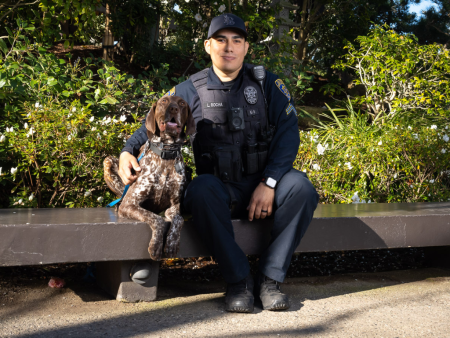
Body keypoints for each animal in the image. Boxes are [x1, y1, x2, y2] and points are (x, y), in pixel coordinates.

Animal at [103, 96, 195, 260]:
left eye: (182, 103)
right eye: (164, 101)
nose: (173, 109)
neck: (166, 153)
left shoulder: (175, 206)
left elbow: (178, 219)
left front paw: (171, 244)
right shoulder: (130, 204)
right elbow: (156, 219)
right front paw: (156, 246)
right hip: (108, 162)